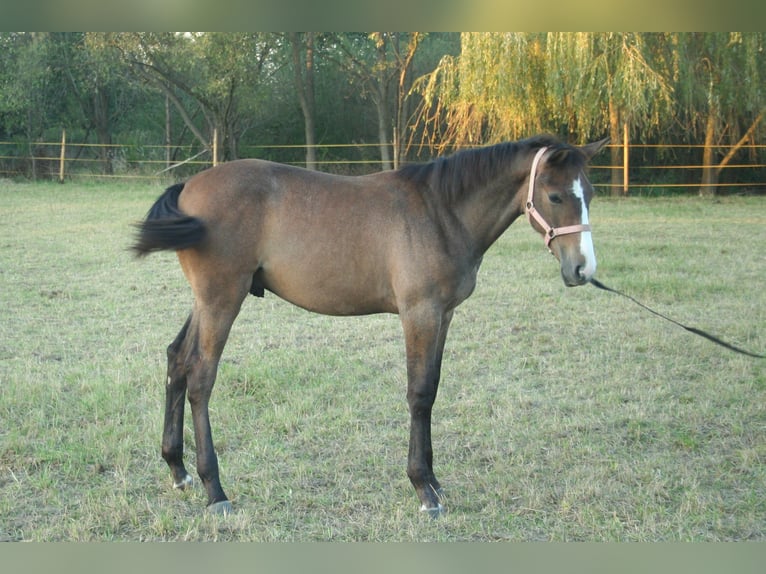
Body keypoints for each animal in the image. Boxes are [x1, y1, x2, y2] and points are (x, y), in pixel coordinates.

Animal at [134, 134, 612, 516]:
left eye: (589, 192)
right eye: (555, 196)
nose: (583, 269)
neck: (440, 213)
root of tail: (189, 186)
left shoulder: (444, 314)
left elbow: (433, 388)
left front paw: (434, 481)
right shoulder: (420, 312)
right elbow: (419, 394)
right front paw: (424, 490)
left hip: (206, 301)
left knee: (177, 360)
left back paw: (178, 470)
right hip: (222, 299)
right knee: (201, 378)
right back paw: (215, 491)